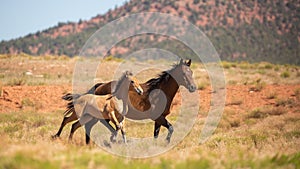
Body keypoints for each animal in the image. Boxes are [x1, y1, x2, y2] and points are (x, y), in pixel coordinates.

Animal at [61, 58, 197, 143]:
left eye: (191, 72)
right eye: (183, 74)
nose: (193, 88)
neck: (159, 93)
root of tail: (99, 86)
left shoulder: (159, 118)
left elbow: (156, 134)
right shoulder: (158, 117)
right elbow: (171, 128)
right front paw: (167, 142)